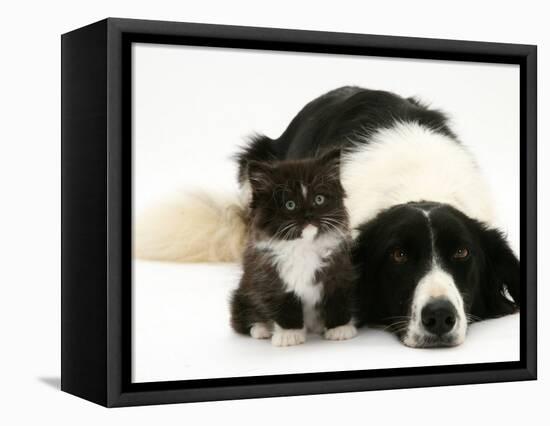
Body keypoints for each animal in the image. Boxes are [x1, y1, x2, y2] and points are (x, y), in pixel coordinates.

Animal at [230, 150, 356, 346]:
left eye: (319, 199)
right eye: (290, 205)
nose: (309, 215)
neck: (303, 246)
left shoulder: (338, 271)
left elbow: (337, 299)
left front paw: (339, 329)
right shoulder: (270, 277)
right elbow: (284, 305)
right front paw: (289, 334)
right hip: (242, 294)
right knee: (243, 319)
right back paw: (262, 329)